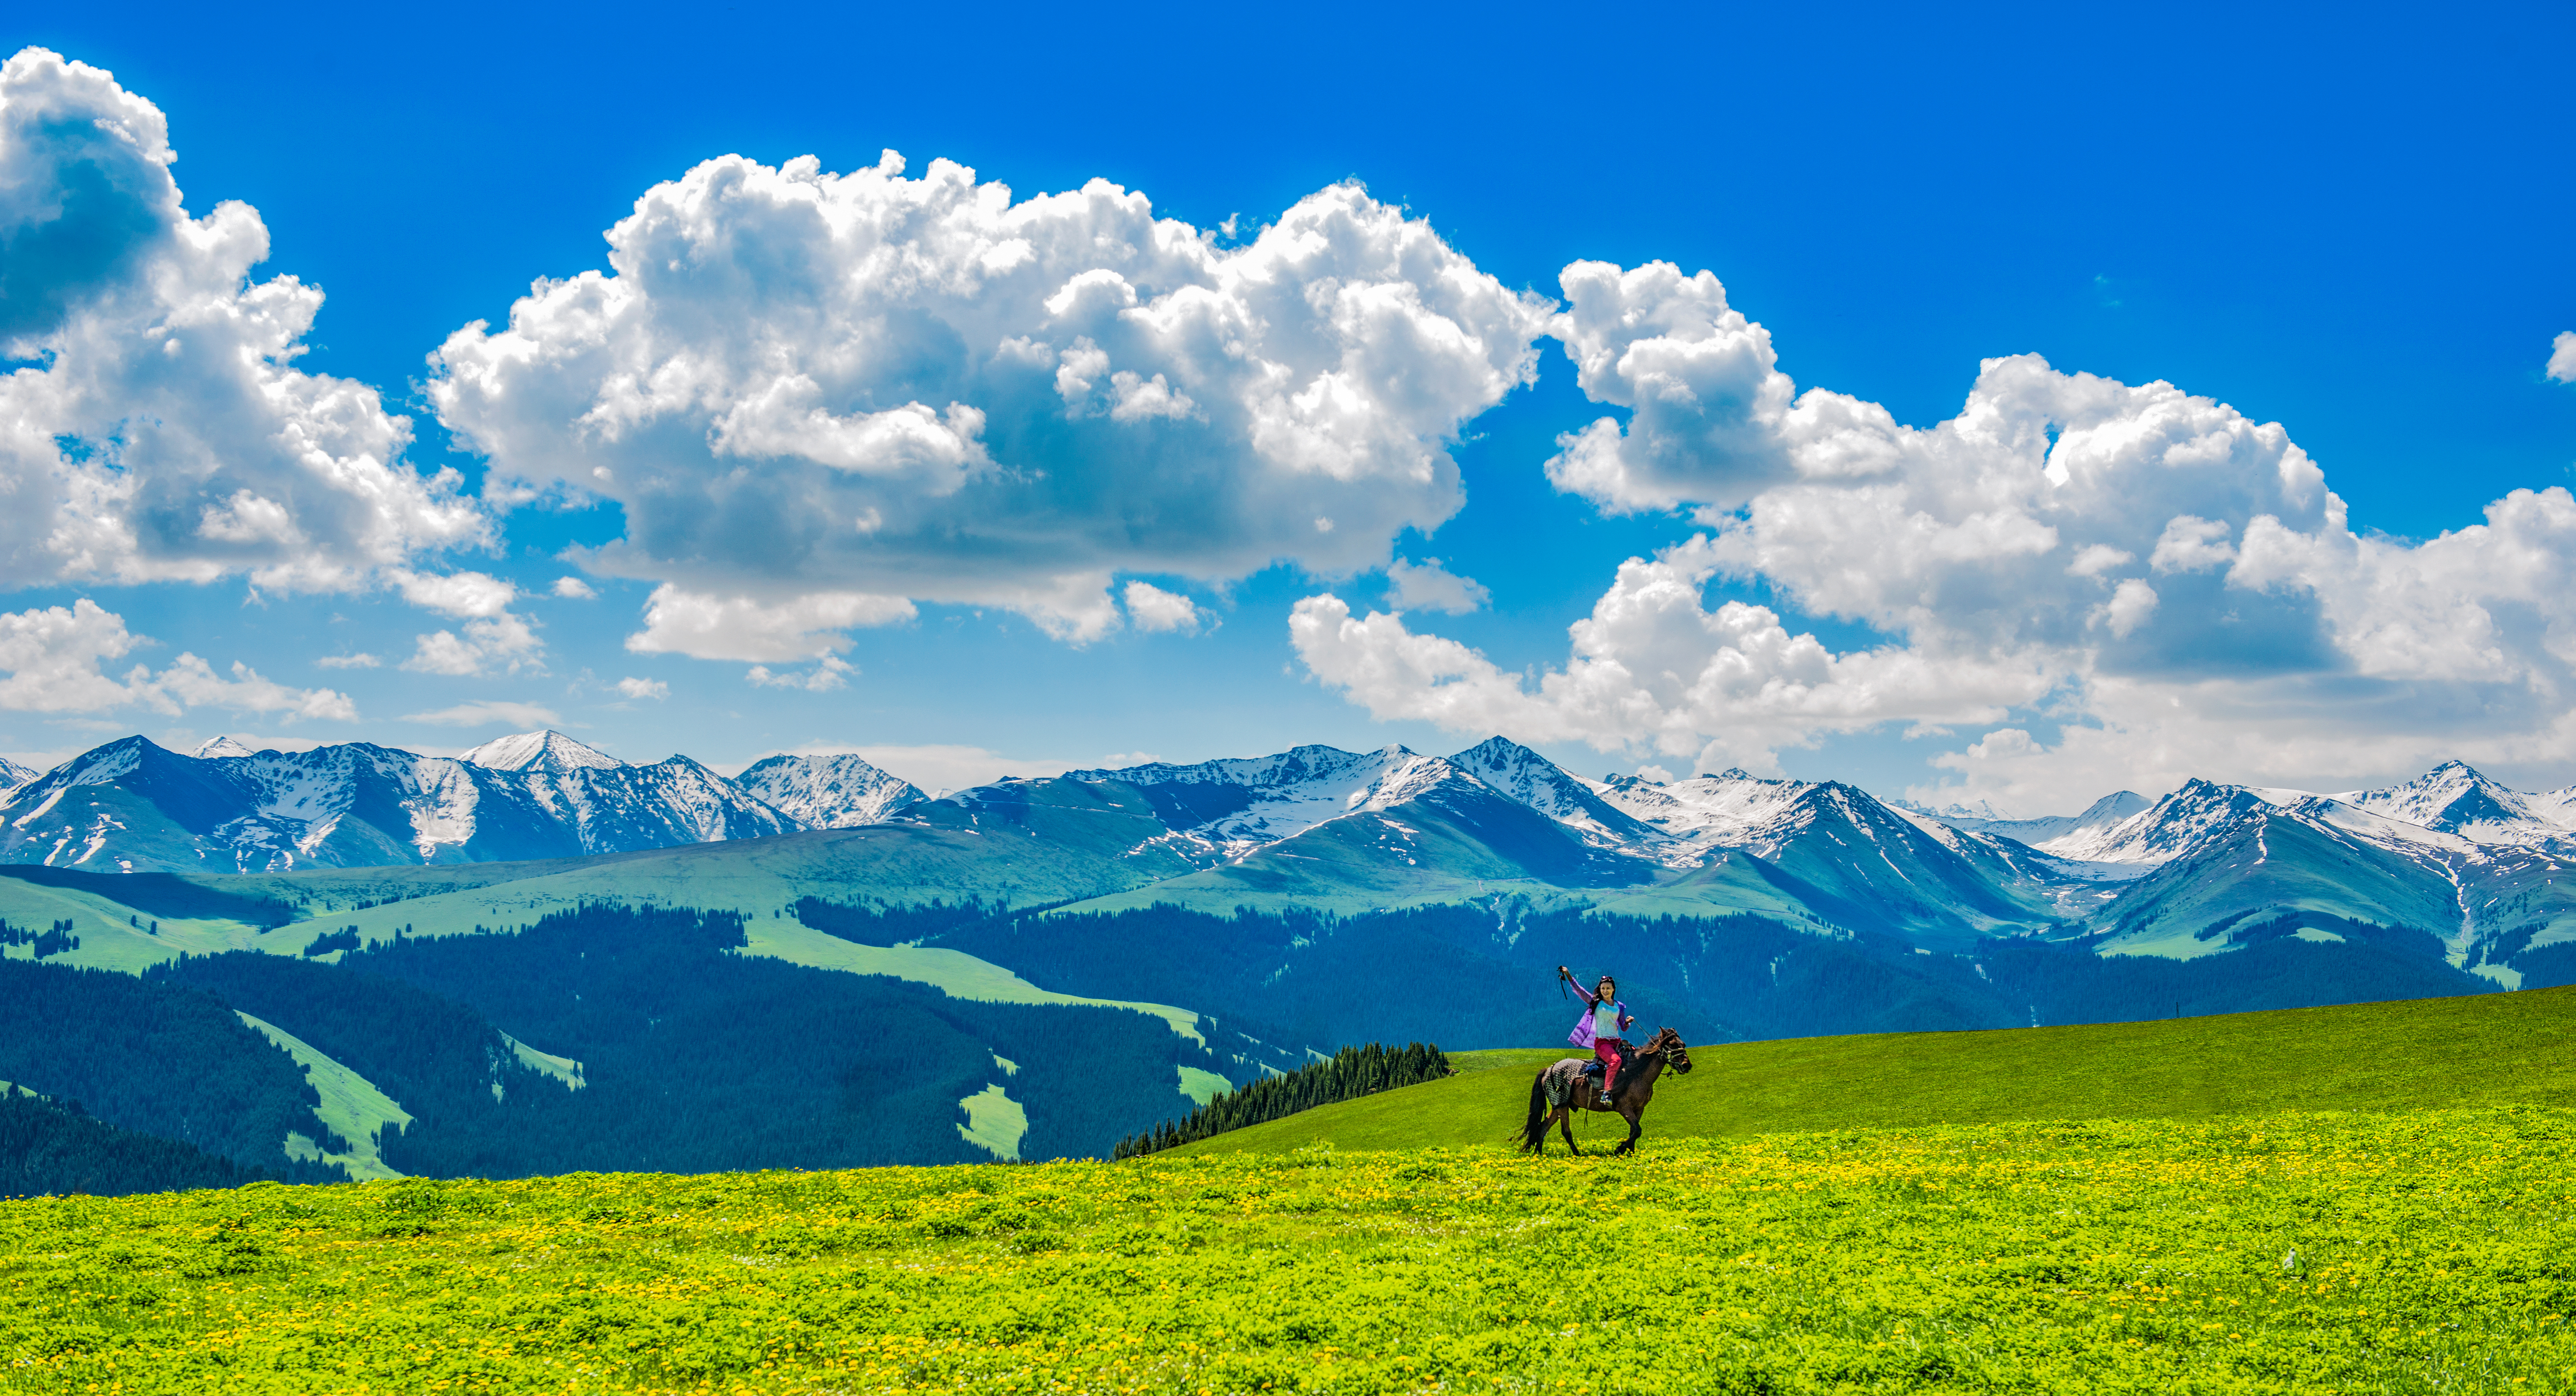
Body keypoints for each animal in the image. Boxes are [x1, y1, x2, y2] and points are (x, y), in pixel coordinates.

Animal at [1504, 1030, 1690, 1159]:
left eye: (1683, 1043)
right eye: (1672, 1046)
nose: (1687, 1066)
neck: (1638, 1074)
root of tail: (1549, 1068)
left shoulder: (1639, 1109)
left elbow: (1634, 1131)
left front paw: (1630, 1152)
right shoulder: (1624, 1108)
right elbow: (1637, 1130)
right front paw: (1620, 1149)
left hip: (1558, 1106)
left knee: (1543, 1127)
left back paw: (1539, 1155)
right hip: (1562, 1104)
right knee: (1565, 1131)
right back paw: (1577, 1154)